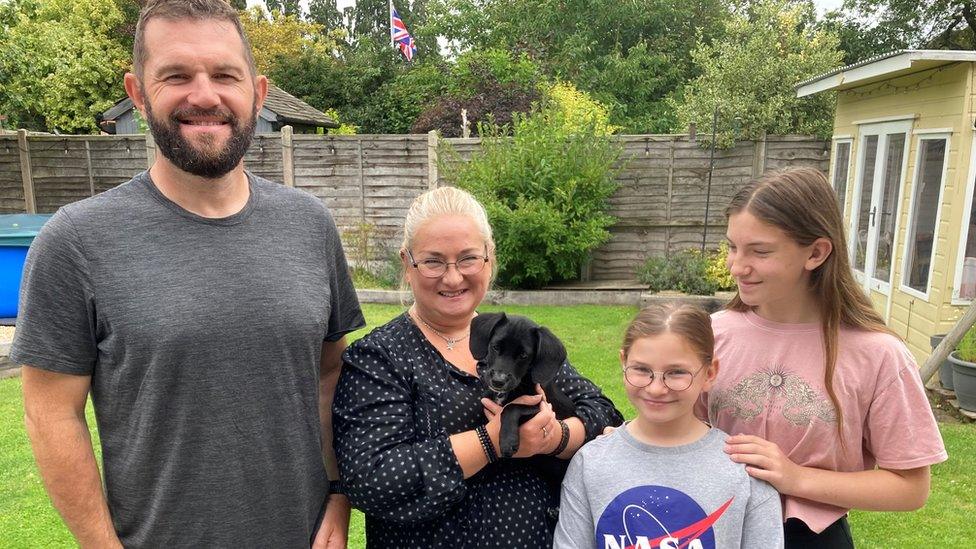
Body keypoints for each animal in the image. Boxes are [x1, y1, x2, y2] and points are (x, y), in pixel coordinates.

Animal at [470, 310, 576, 456]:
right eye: (495, 347)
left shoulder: (542, 405)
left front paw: (508, 441)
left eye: (523, 355)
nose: (498, 381)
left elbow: (512, 407)